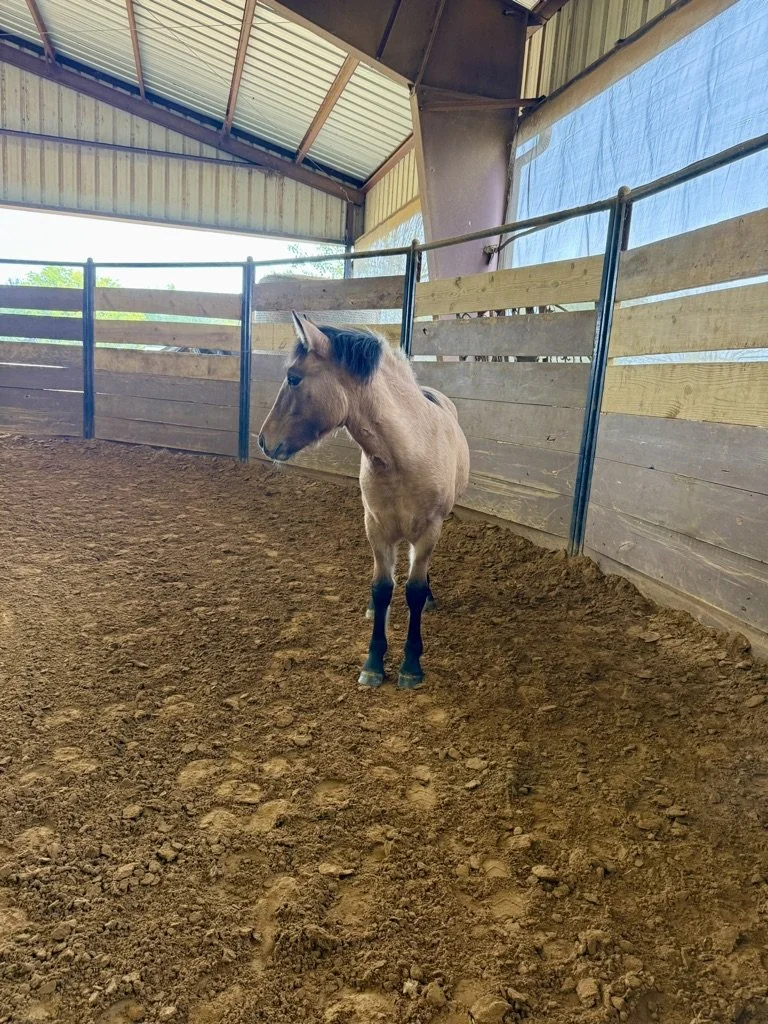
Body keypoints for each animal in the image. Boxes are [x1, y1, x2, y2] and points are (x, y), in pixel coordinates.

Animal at [258, 313, 470, 689]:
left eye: (294, 378)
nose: (263, 440)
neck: (408, 453)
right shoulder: (377, 527)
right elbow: (382, 588)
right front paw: (373, 662)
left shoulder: (428, 530)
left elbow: (414, 590)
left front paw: (410, 665)